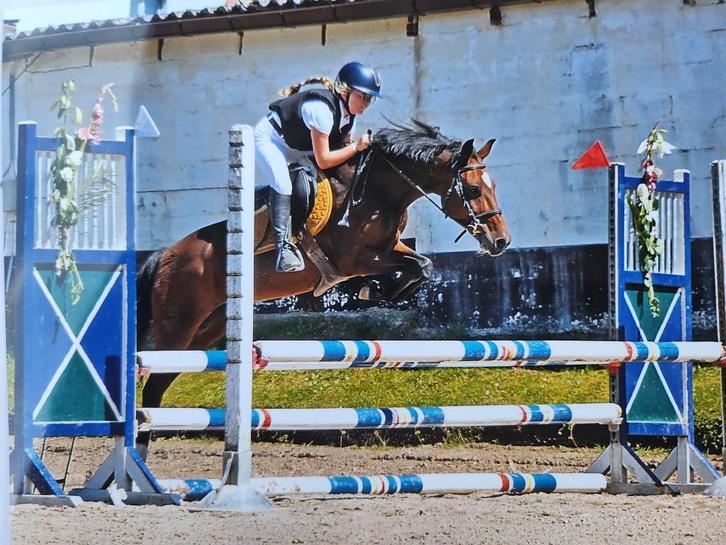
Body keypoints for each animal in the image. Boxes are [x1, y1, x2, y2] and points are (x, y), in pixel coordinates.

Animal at [136, 120, 511, 449]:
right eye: (474, 189)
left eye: (494, 186)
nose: (501, 242)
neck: (377, 192)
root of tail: (165, 254)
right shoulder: (354, 260)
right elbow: (416, 266)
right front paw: (376, 290)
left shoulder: (391, 248)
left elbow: (424, 265)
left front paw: (381, 291)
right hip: (180, 324)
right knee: (152, 383)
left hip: (208, 327)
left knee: (160, 382)